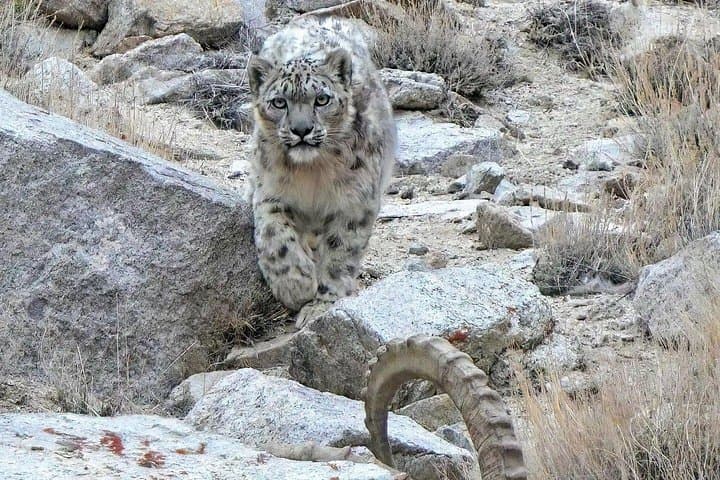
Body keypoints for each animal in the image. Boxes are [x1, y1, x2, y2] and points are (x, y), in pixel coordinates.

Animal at [246, 16, 396, 327]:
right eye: (279, 102)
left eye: (322, 99)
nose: (301, 129)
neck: (312, 173)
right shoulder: (270, 192)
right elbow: (273, 237)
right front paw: (296, 285)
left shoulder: (355, 202)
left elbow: (340, 253)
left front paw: (321, 303)